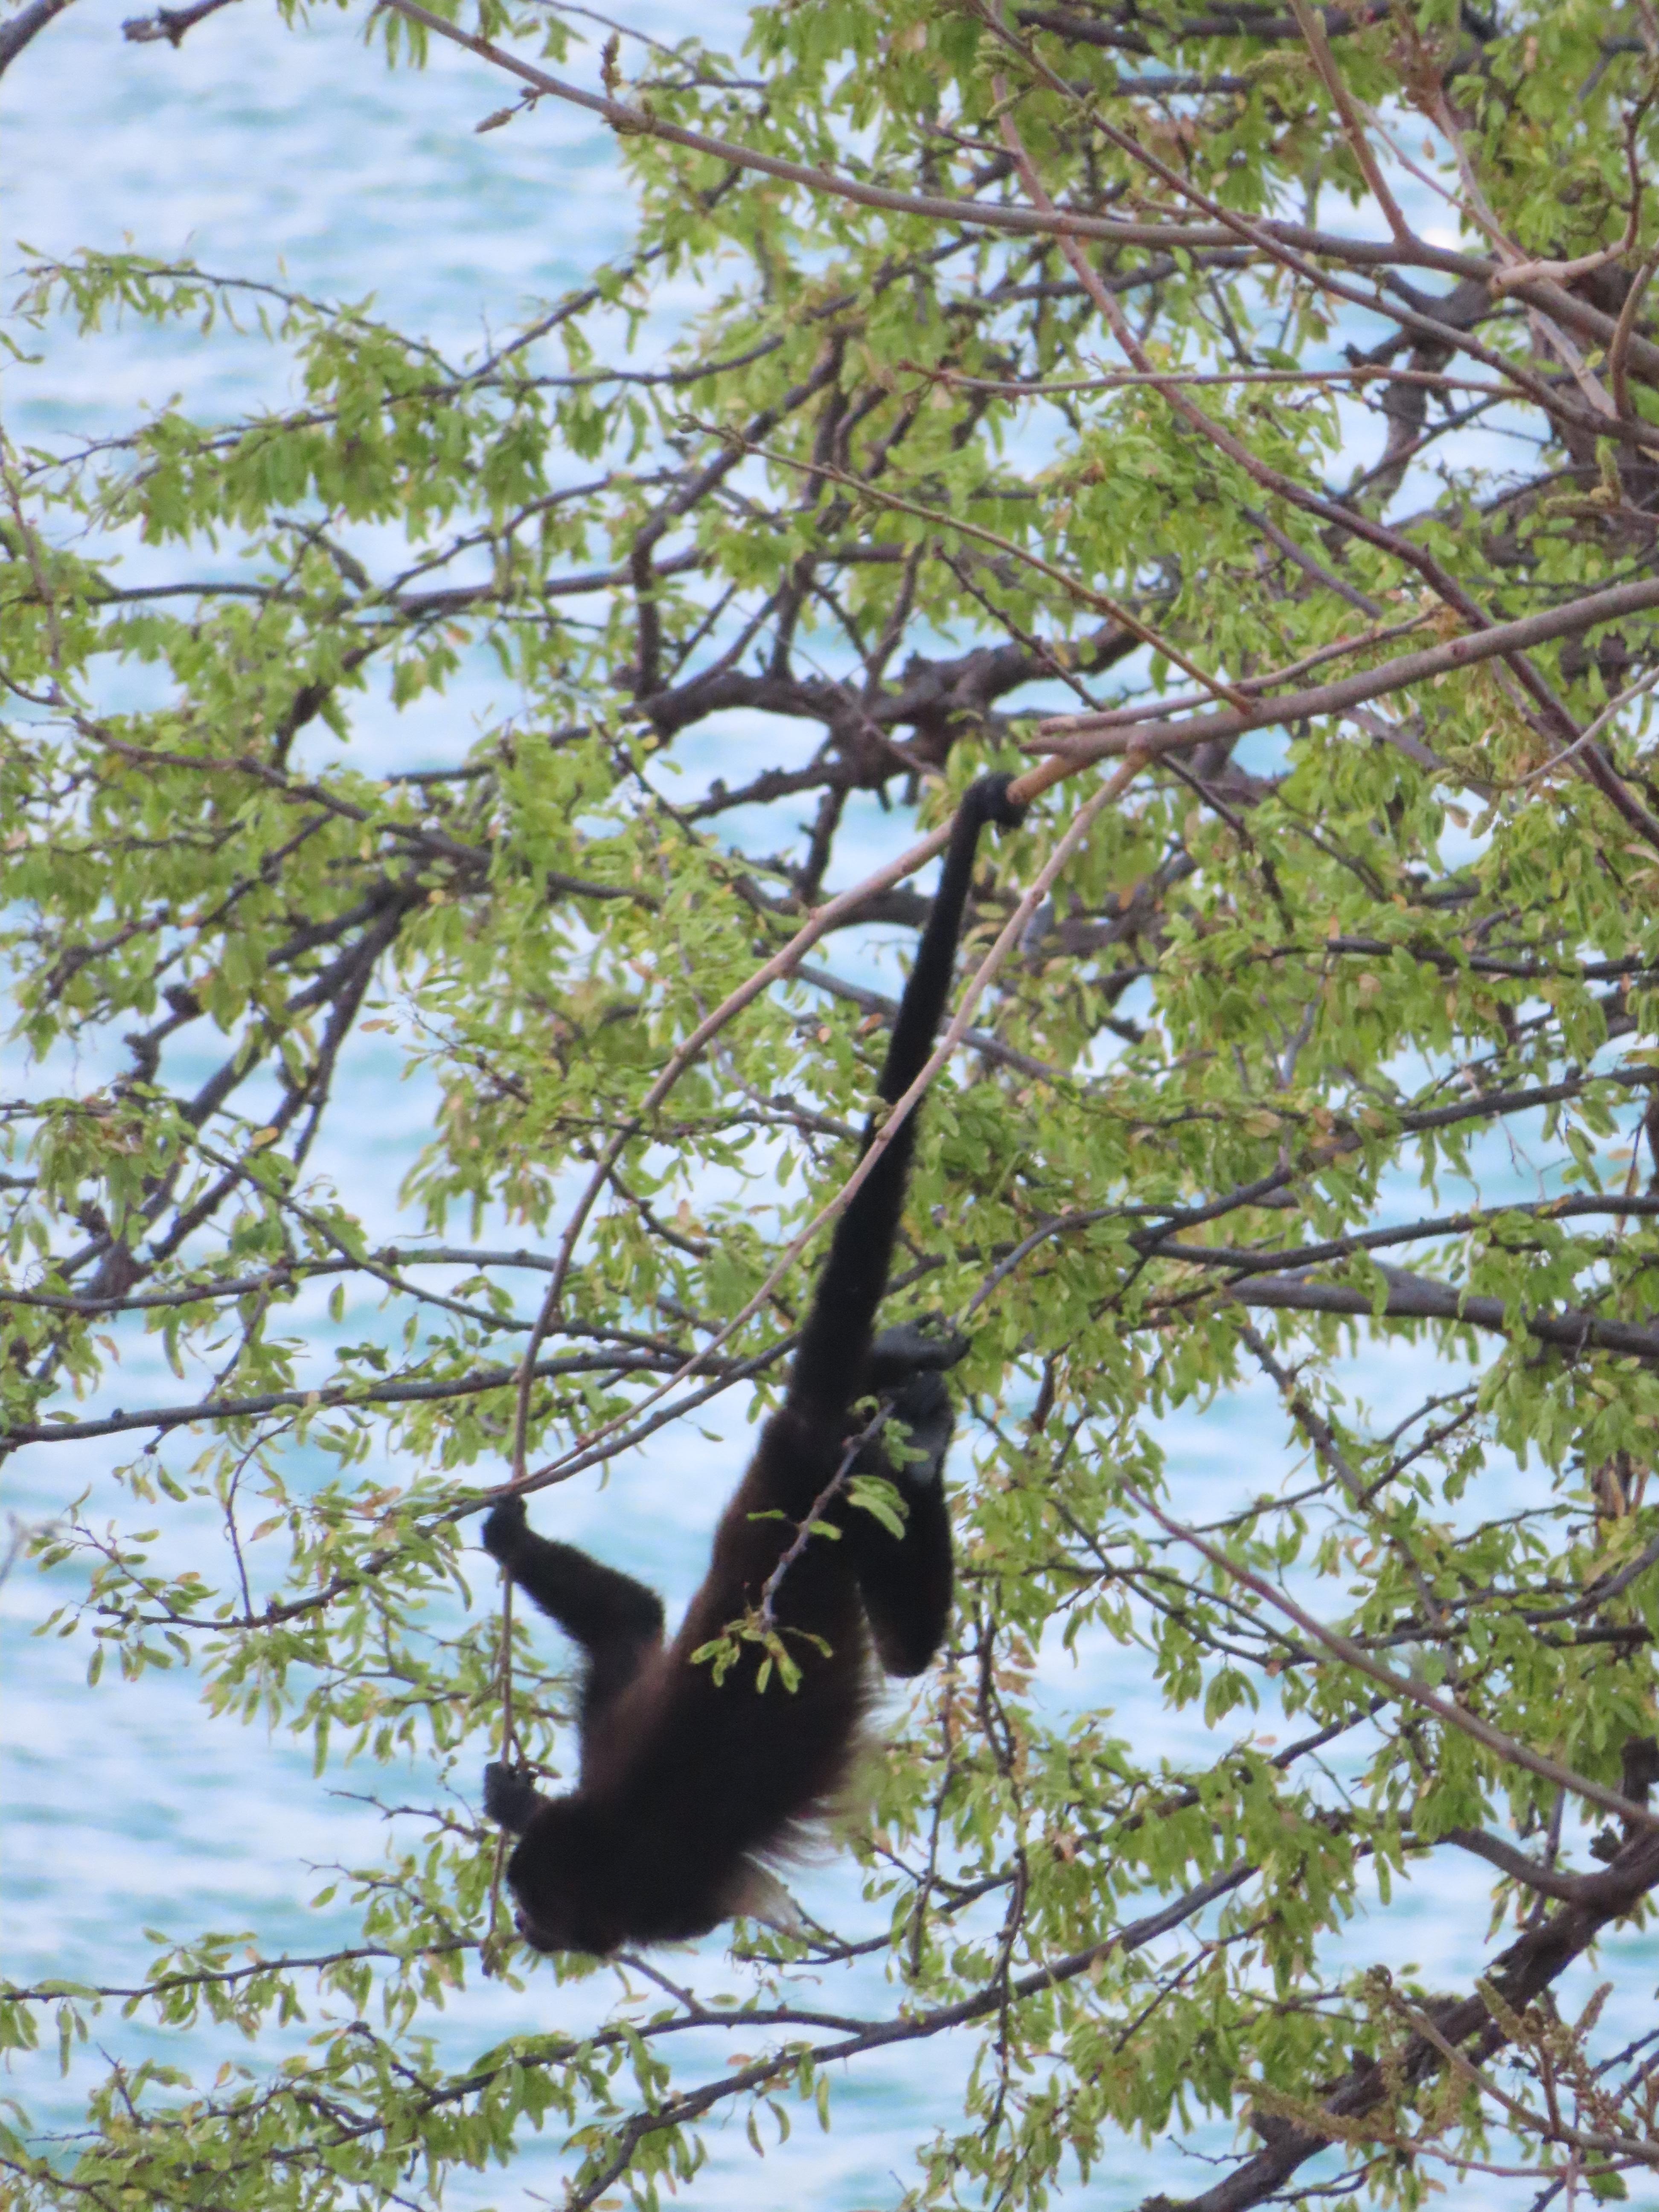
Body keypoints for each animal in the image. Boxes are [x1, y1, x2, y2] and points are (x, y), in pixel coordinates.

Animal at [480, 773, 1026, 1955]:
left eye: (541, 1909)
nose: (535, 1932)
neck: (605, 1832)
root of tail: (795, 1444)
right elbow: (635, 1619)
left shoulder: (665, 1895)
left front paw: (513, 1804)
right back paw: (907, 1395)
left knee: (911, 1649)